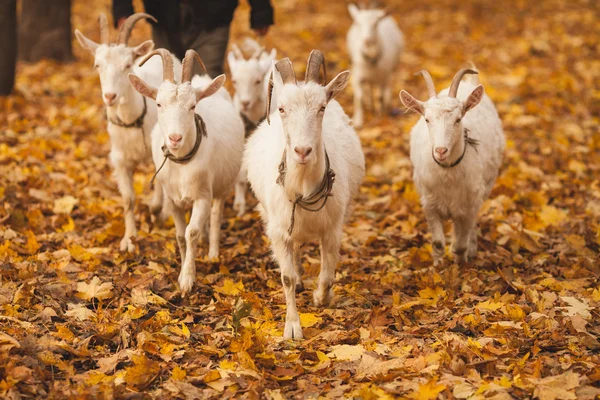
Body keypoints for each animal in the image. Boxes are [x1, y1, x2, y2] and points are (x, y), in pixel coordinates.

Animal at [73, 14, 180, 252]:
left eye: (127, 64)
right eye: (97, 64)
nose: (110, 96)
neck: (134, 120)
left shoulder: (159, 153)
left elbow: (159, 190)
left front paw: (158, 213)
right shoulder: (120, 159)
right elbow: (128, 199)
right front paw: (129, 239)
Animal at [129, 49, 244, 294]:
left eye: (192, 106)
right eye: (158, 104)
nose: (175, 138)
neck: (182, 164)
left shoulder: (202, 195)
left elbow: (192, 232)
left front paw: (187, 279)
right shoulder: (172, 199)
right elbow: (181, 235)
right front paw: (182, 268)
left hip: (222, 185)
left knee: (216, 214)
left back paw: (213, 253)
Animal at [244, 49, 366, 338]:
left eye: (321, 107)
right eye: (281, 108)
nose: (302, 151)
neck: (302, 187)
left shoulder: (332, 227)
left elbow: (329, 272)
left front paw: (321, 297)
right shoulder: (278, 230)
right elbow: (286, 277)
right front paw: (292, 327)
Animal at [398, 69, 506, 266]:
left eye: (458, 119)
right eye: (427, 119)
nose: (441, 150)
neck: (447, 173)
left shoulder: (470, 205)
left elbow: (461, 243)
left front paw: (461, 264)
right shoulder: (429, 204)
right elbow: (438, 242)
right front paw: (438, 266)